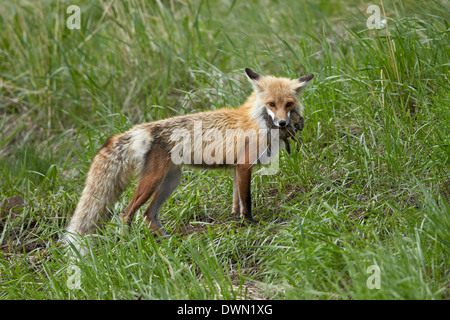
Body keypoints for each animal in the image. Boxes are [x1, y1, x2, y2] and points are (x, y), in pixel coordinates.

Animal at [65, 68, 312, 252]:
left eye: (289, 104)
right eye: (271, 104)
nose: (282, 123)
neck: (256, 121)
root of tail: (139, 129)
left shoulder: (236, 168)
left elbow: (236, 200)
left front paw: (236, 220)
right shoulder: (244, 166)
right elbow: (247, 200)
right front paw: (250, 223)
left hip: (170, 181)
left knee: (148, 215)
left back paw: (169, 240)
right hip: (153, 181)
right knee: (126, 213)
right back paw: (129, 244)